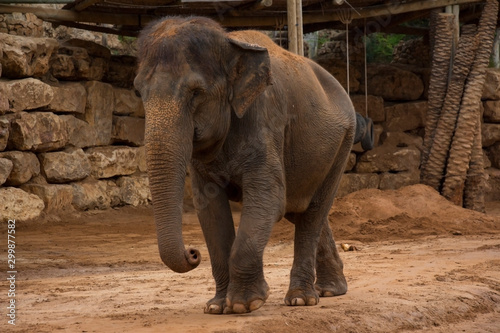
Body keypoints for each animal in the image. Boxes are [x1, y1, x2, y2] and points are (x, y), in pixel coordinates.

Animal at [134, 16, 356, 314]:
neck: (230, 44)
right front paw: (216, 307)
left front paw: (244, 304)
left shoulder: (265, 119)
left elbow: (268, 198)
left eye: (196, 93)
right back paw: (331, 290)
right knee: (300, 209)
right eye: (139, 92)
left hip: (343, 143)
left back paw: (301, 299)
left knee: (313, 211)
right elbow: (210, 209)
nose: (193, 253)